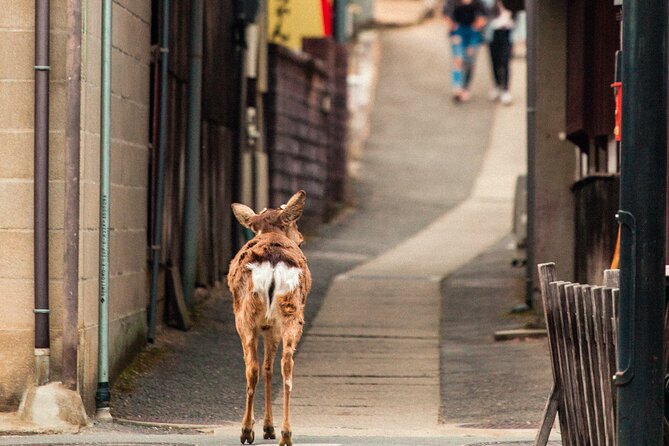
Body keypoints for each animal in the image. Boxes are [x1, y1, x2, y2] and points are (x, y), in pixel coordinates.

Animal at [228, 190, 312, 444]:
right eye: (294, 224)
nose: (301, 237)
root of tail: (274, 261)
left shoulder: (265, 326)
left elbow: (265, 368)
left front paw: (266, 427)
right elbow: (270, 367)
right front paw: (269, 427)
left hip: (247, 316)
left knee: (253, 368)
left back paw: (248, 430)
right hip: (291, 311)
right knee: (287, 364)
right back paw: (286, 434)